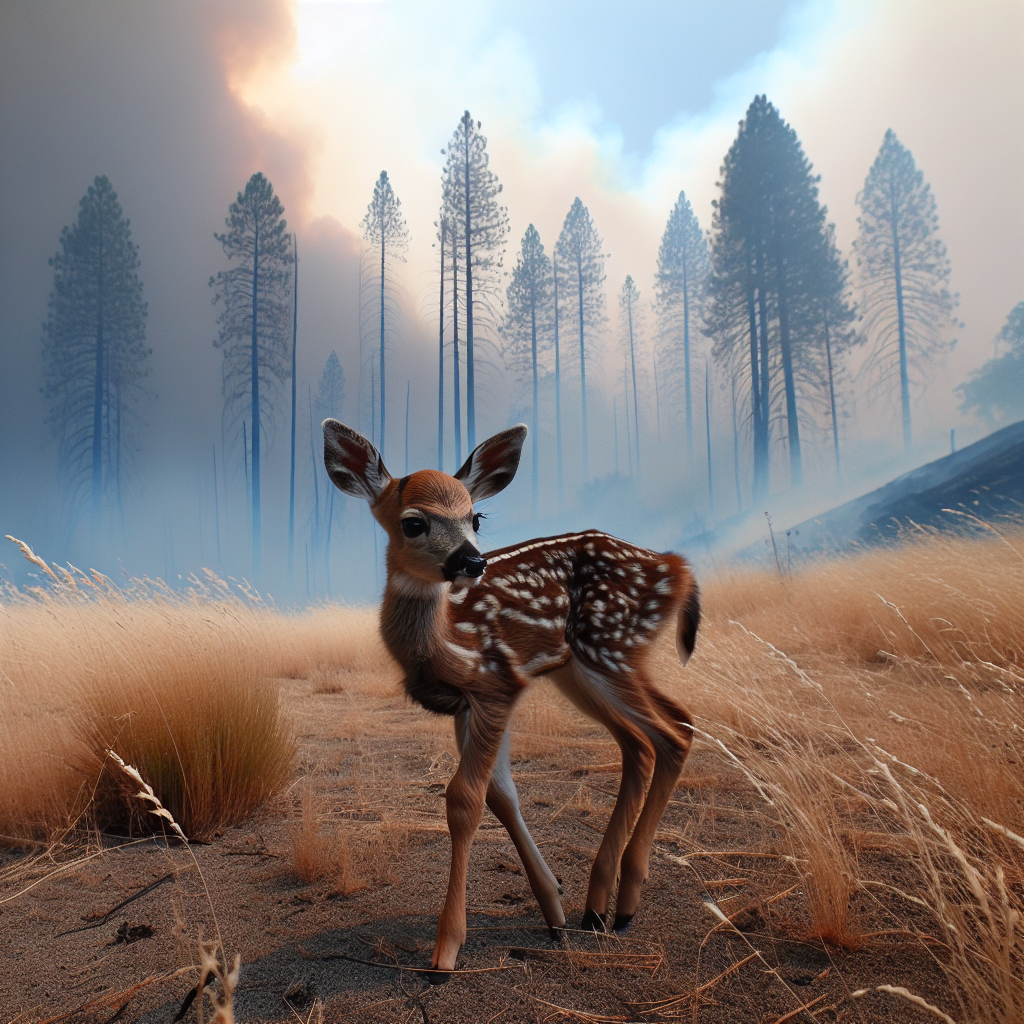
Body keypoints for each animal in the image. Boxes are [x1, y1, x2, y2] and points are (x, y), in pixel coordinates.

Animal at [322, 419, 700, 978]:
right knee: (649, 738)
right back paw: (596, 907)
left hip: (608, 648)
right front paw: (553, 909)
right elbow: (501, 794)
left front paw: (446, 951)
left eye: (475, 515)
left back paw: (625, 904)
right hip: (584, 668)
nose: (472, 561)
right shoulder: (466, 705)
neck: (443, 641)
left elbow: (465, 799)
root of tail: (676, 567)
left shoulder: (497, 685)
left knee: (672, 732)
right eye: (413, 522)